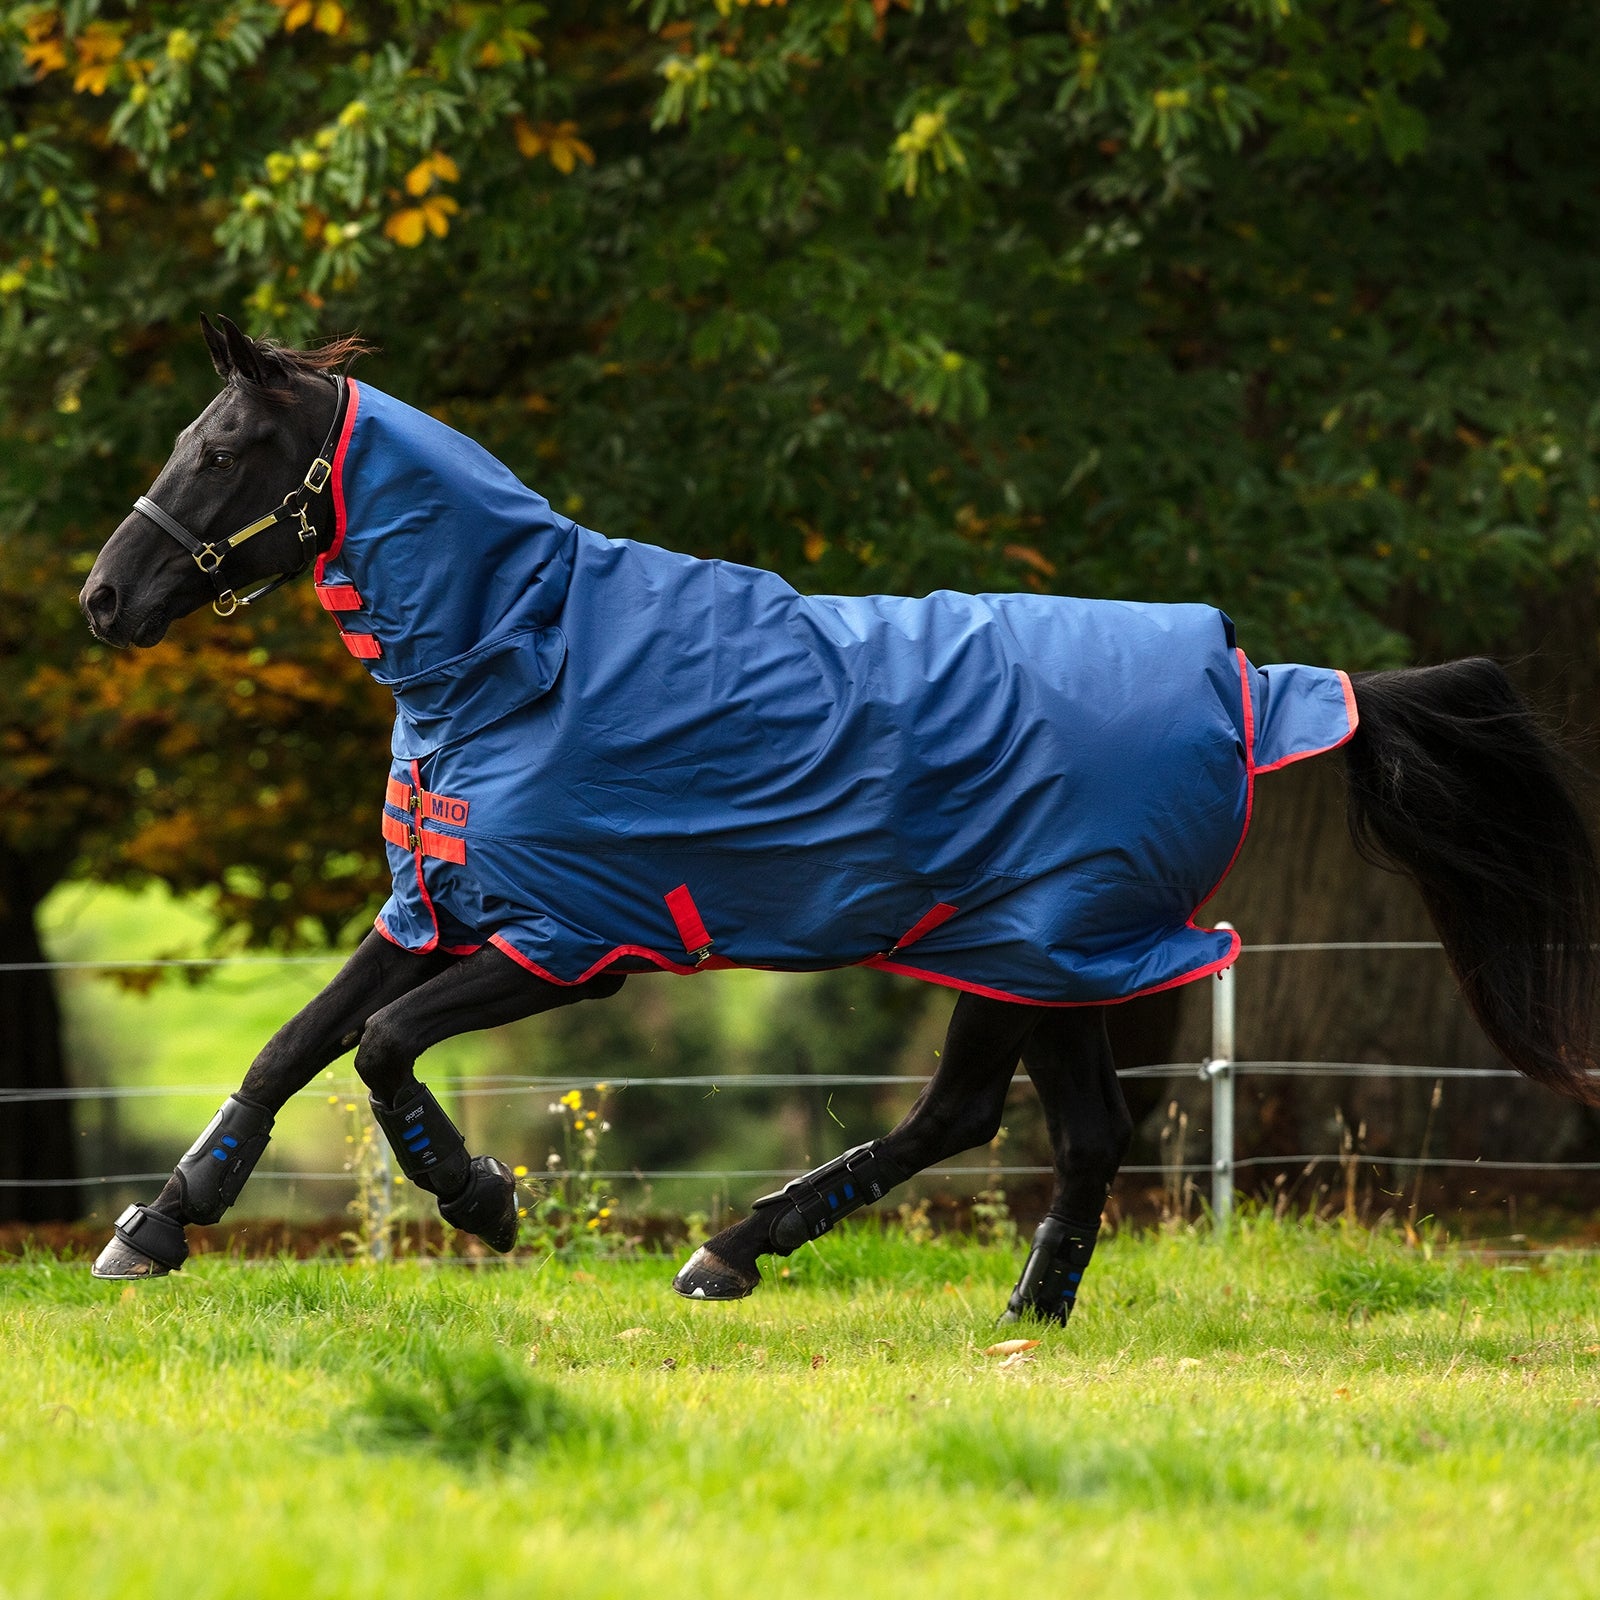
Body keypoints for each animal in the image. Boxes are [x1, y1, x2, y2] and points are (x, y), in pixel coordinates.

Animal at [78, 317, 1600, 1320]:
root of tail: (1250, 679)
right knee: (1031, 1123)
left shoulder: (573, 941)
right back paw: (945, 1294)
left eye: (225, 446)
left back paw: (798, 1264)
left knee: (1006, 1120)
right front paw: (156, 1226)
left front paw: (482, 1198)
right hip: (1033, 956)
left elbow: (384, 1049)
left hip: (1046, 945)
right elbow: (292, 1048)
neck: (522, 654)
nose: (104, 599)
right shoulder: (436, 908)